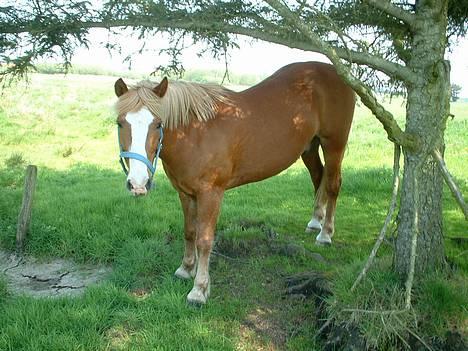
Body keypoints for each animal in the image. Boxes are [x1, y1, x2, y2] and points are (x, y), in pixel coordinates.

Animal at [114, 62, 354, 304]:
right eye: (120, 123)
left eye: (157, 124)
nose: (138, 183)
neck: (195, 133)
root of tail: (336, 73)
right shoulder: (185, 193)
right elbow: (189, 231)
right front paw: (186, 269)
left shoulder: (211, 194)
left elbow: (204, 239)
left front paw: (199, 289)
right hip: (310, 147)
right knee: (318, 178)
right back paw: (315, 221)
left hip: (334, 144)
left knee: (332, 185)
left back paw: (325, 234)